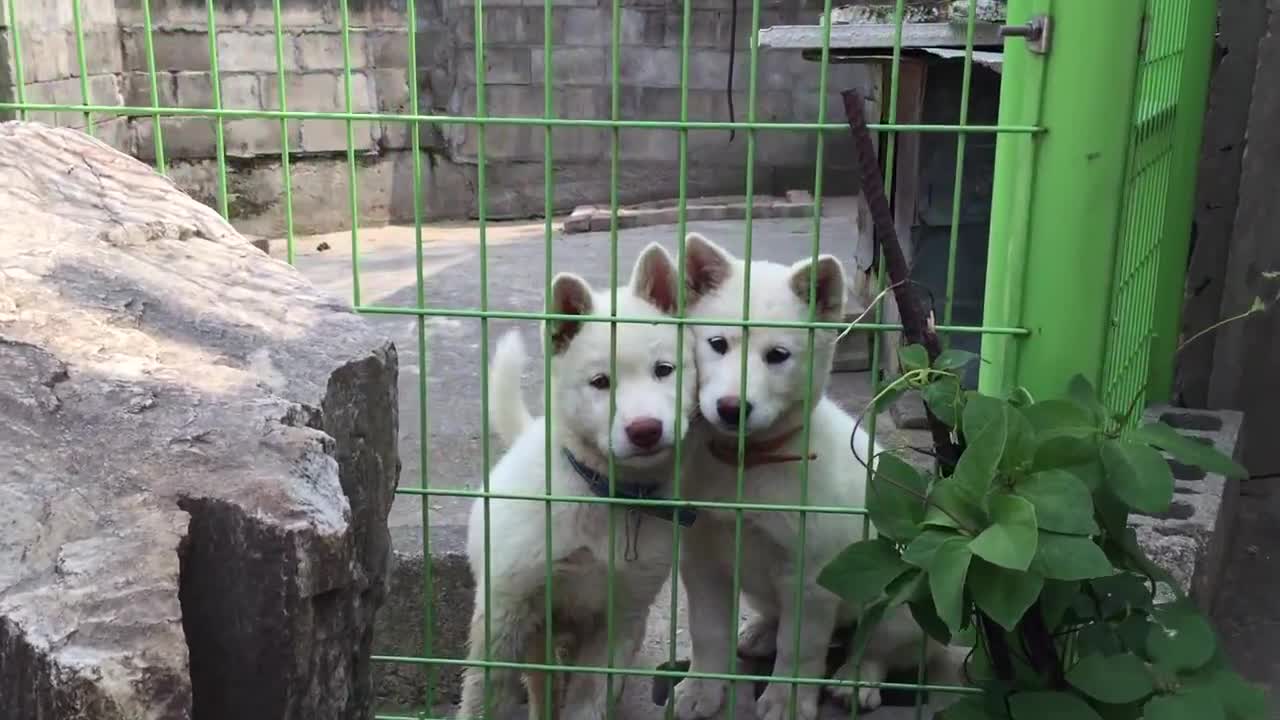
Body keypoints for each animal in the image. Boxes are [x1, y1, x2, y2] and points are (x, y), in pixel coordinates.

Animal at [460, 242, 701, 717]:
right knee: (541, 683)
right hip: (538, 633)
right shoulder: (506, 609)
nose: (645, 430)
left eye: (664, 369)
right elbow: (485, 692)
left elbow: (589, 698)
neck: (606, 494)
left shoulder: (621, 616)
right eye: (600, 382)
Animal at [675, 233, 957, 717]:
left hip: (897, 592)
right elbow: (706, 632)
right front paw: (701, 689)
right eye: (717, 343)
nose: (731, 409)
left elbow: (800, 649)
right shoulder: (703, 561)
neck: (747, 465)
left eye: (778, 356)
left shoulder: (810, 577)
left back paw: (855, 680)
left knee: (877, 644)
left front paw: (785, 699)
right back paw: (760, 632)